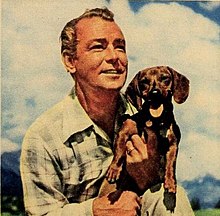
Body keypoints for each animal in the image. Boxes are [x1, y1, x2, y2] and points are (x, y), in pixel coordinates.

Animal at [102, 65, 190, 211]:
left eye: (165, 78)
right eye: (144, 81)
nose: (154, 93)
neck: (155, 121)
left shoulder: (173, 145)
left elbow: (170, 164)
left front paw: (171, 183)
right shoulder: (125, 130)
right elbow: (119, 152)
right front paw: (114, 170)